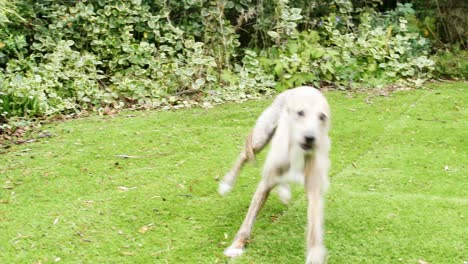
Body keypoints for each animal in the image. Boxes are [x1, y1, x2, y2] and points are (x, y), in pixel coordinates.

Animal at [218, 85, 330, 262]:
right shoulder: (265, 183)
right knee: (244, 155)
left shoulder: (314, 190)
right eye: (300, 113)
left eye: (322, 117)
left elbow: (314, 228)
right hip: (262, 136)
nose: (310, 137)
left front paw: (314, 254)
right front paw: (236, 246)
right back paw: (227, 184)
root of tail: (300, 87)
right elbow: (248, 222)